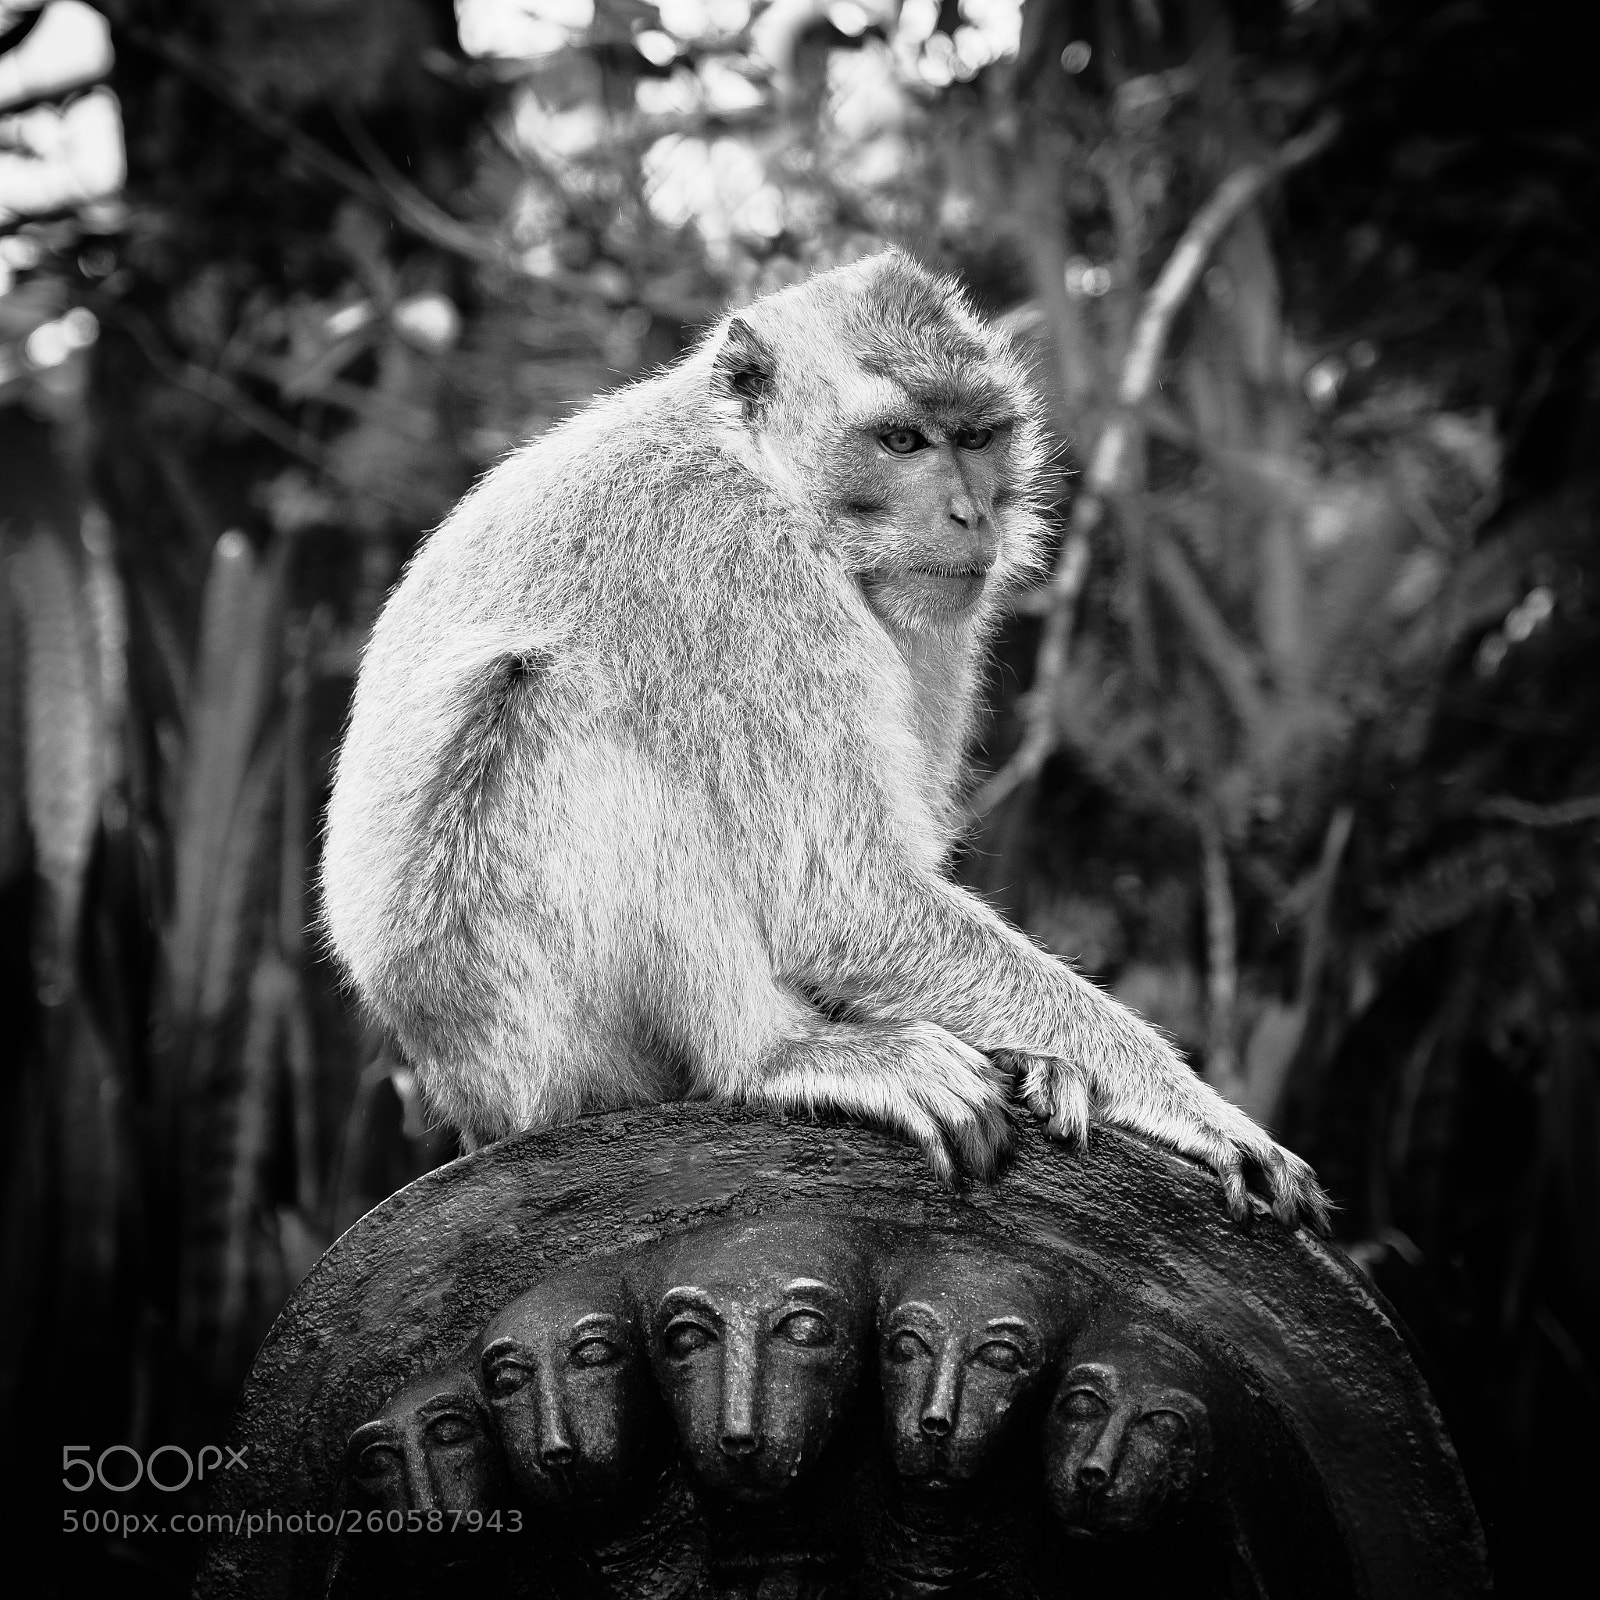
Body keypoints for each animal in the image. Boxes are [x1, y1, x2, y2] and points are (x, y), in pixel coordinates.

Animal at [321, 250, 1330, 1233]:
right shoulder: (743, 563)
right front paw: (1193, 1109)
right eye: (901, 441)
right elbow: (842, 892)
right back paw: (776, 1054)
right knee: (554, 709)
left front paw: (1055, 1064)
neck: (761, 466)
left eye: (976, 437)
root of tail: (465, 1097)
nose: (971, 513)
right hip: (523, 1025)